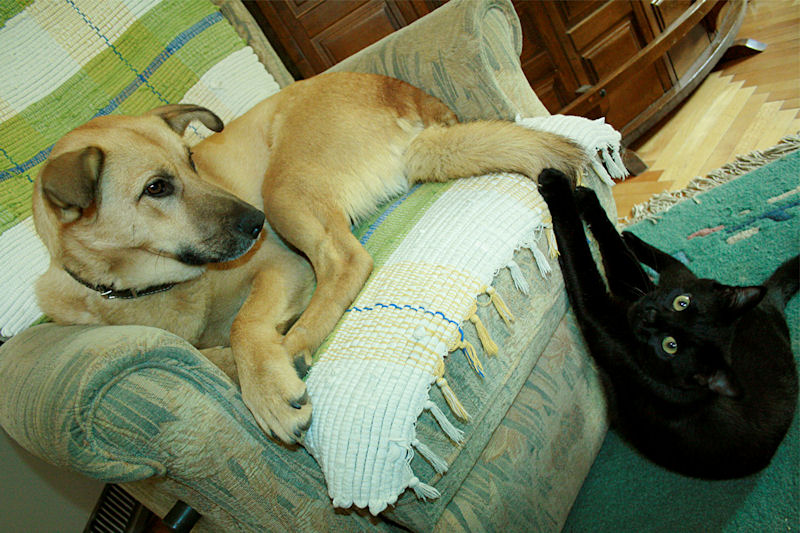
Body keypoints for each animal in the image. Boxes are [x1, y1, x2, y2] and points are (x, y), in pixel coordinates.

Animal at [32, 72, 585, 443]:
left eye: (192, 162)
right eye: (156, 188)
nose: (254, 224)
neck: (158, 287)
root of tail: (405, 97)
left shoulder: (281, 264)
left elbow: (244, 325)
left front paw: (265, 385)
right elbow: (204, 353)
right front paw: (239, 365)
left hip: (284, 189)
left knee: (346, 261)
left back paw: (294, 344)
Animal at [537, 168, 799, 480]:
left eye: (670, 346)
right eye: (681, 303)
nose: (650, 315)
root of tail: (772, 303)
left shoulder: (604, 322)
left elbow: (579, 256)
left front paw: (556, 186)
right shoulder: (635, 293)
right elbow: (616, 253)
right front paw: (588, 198)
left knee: (665, 264)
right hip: (670, 282)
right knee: (652, 260)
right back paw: (630, 234)